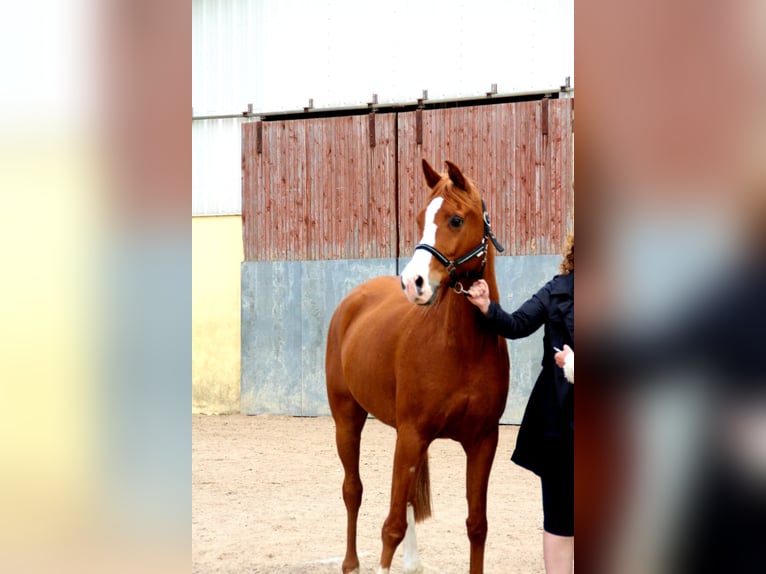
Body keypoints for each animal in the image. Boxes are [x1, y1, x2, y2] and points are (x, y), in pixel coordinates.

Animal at [325, 159, 510, 574]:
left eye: (455, 219)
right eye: (420, 217)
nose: (414, 282)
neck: (461, 348)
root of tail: (352, 301)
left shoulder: (482, 441)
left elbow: (477, 525)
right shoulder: (411, 435)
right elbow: (391, 527)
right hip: (348, 418)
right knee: (352, 490)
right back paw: (350, 563)